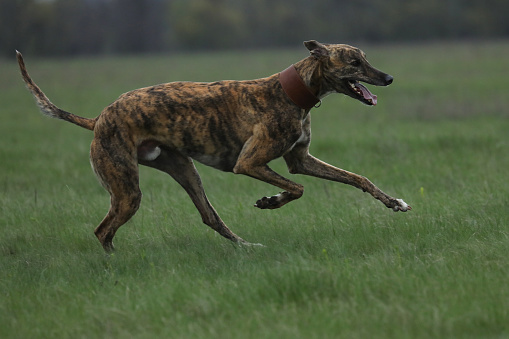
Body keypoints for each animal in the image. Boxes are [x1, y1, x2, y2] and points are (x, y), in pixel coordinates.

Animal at [17, 40, 410, 252]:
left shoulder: (300, 159)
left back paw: (246, 247)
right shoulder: (249, 163)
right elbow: (297, 189)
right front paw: (270, 201)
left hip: (183, 169)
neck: (288, 91)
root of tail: (99, 118)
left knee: (210, 216)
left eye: (365, 58)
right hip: (127, 190)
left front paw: (394, 202)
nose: (390, 78)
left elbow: (358, 178)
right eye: (354, 62)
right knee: (103, 230)